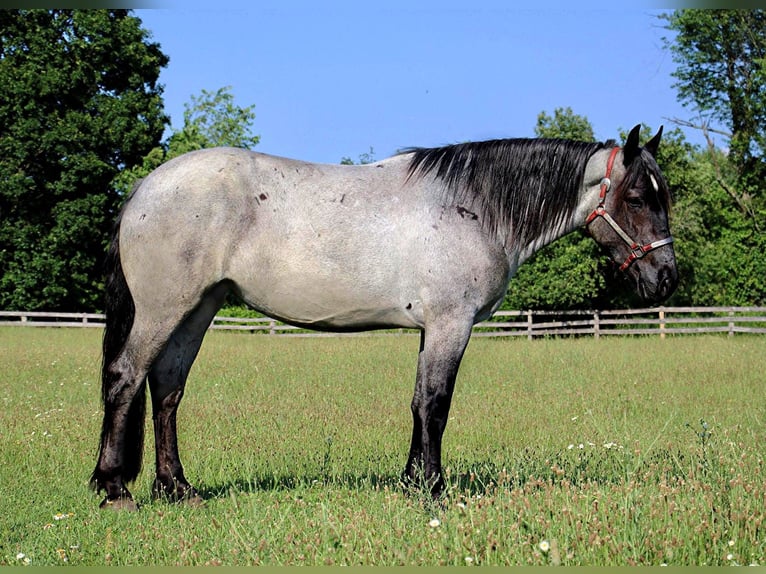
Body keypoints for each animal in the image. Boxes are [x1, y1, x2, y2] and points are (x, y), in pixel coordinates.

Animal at [88, 124, 680, 510]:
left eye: (664, 196)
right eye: (635, 198)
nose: (667, 279)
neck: (473, 206)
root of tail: (144, 188)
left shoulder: (432, 330)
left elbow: (419, 403)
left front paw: (413, 481)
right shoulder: (450, 325)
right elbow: (436, 405)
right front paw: (433, 490)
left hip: (197, 309)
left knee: (167, 390)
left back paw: (177, 489)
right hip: (164, 309)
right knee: (125, 378)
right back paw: (115, 489)